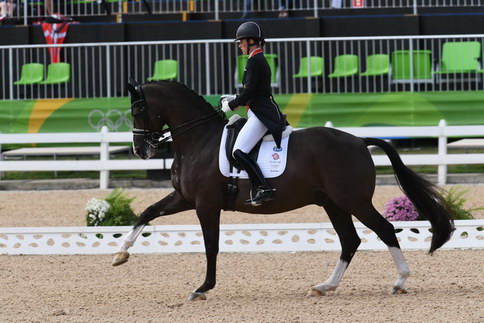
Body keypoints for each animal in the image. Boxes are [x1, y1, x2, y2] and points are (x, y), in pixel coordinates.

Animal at [112, 80, 454, 302]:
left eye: (138, 110)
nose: (140, 150)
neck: (199, 140)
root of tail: (359, 141)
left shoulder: (205, 204)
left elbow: (211, 246)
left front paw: (202, 288)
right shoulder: (185, 198)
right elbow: (147, 213)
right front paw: (120, 254)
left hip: (353, 200)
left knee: (384, 229)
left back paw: (400, 281)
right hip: (333, 203)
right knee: (350, 240)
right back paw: (325, 286)